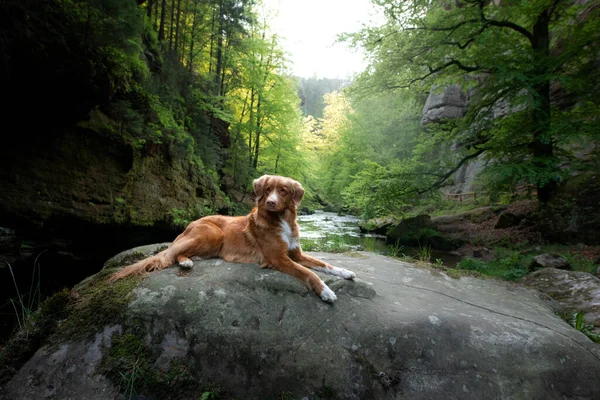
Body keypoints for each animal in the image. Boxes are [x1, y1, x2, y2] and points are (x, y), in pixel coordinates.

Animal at [109, 173, 356, 302]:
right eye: (268, 189)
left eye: (283, 190)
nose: (271, 202)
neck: (282, 221)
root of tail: (190, 223)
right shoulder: (278, 258)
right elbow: (308, 273)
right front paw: (326, 291)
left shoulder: (296, 253)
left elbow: (323, 264)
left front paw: (345, 272)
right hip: (213, 234)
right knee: (173, 252)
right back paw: (186, 261)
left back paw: (189, 260)